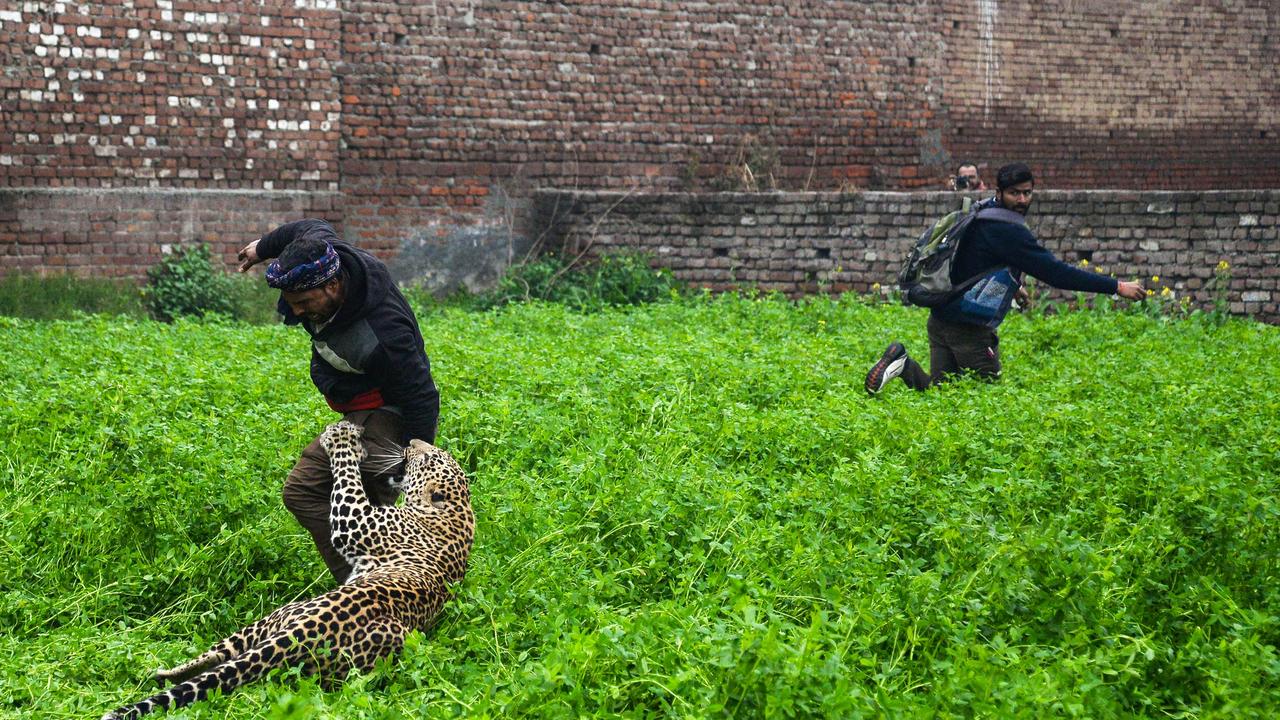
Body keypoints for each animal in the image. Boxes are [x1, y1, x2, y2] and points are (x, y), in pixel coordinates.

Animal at [102, 417, 476, 712]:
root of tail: (300, 634)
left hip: (277, 617)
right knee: (222, 659)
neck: (457, 510)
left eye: (426, 457)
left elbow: (347, 479)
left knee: (226, 657)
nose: (411, 442)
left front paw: (342, 441)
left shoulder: (355, 520)